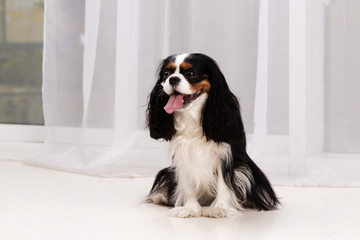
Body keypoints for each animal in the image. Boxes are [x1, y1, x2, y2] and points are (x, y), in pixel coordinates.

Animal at [146, 53, 278, 218]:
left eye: (191, 74)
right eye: (166, 74)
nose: (173, 79)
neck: (193, 118)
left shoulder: (225, 155)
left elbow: (223, 184)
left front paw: (219, 208)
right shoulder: (183, 156)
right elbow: (188, 184)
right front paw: (190, 208)